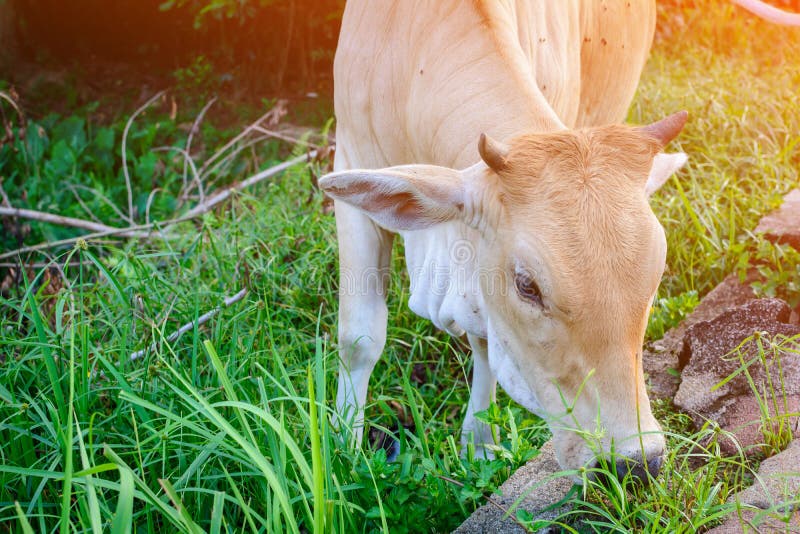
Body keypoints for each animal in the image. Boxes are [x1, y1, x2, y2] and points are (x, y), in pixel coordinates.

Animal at [319, 0, 689, 481]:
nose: (637, 464)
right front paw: (342, 447)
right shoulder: (351, 168)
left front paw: (479, 443)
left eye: (654, 280)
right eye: (527, 286)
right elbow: (359, 339)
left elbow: (485, 344)